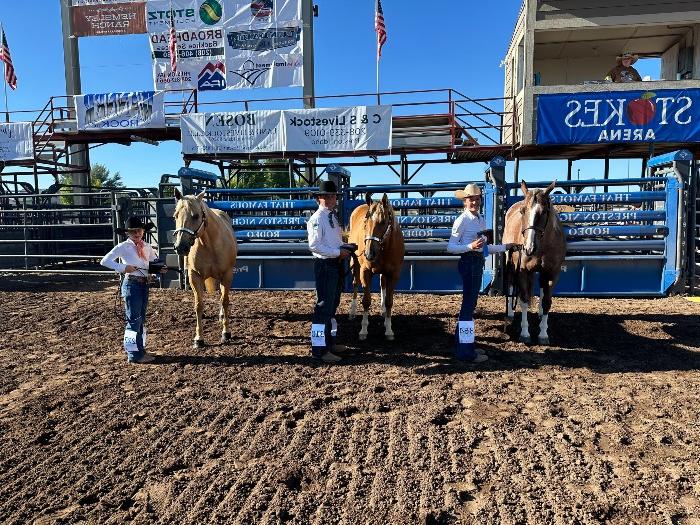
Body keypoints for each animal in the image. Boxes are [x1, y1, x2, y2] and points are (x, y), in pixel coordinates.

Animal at [172, 189, 238, 348]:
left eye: (195, 216)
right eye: (176, 215)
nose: (180, 247)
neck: (209, 244)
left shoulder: (227, 275)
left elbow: (224, 300)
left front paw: (226, 333)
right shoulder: (194, 276)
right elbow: (198, 305)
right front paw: (199, 338)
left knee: (222, 297)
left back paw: (222, 315)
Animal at [348, 192, 404, 340]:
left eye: (383, 222)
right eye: (365, 223)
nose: (369, 253)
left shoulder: (393, 274)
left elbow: (389, 301)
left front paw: (389, 330)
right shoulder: (365, 271)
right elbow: (366, 301)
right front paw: (363, 330)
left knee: (382, 284)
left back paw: (383, 312)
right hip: (354, 263)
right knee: (355, 283)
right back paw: (352, 312)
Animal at [500, 180, 568, 344]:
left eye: (543, 212)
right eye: (523, 211)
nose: (528, 248)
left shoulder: (552, 273)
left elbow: (546, 301)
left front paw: (543, 334)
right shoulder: (523, 271)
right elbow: (524, 300)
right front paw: (525, 333)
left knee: (542, 292)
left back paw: (540, 313)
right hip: (510, 265)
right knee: (511, 286)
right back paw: (510, 314)